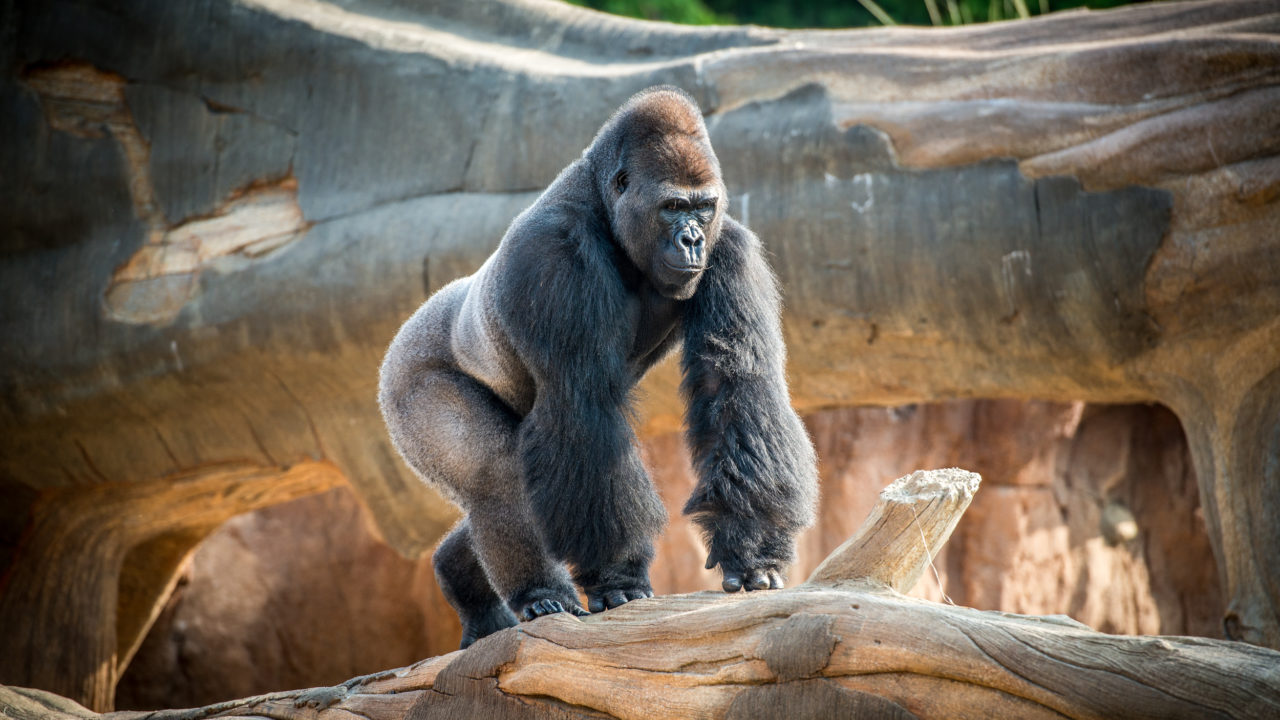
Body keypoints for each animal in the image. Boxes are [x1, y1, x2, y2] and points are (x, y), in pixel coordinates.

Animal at [378, 85, 819, 645]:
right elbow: (582, 405)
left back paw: (461, 576)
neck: (605, 205)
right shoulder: (554, 254)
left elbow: (737, 387)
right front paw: (617, 575)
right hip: (406, 380)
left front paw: (752, 546)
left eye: (703, 207)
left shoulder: (730, 244)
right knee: (495, 471)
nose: (692, 239)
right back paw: (539, 594)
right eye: (672, 207)